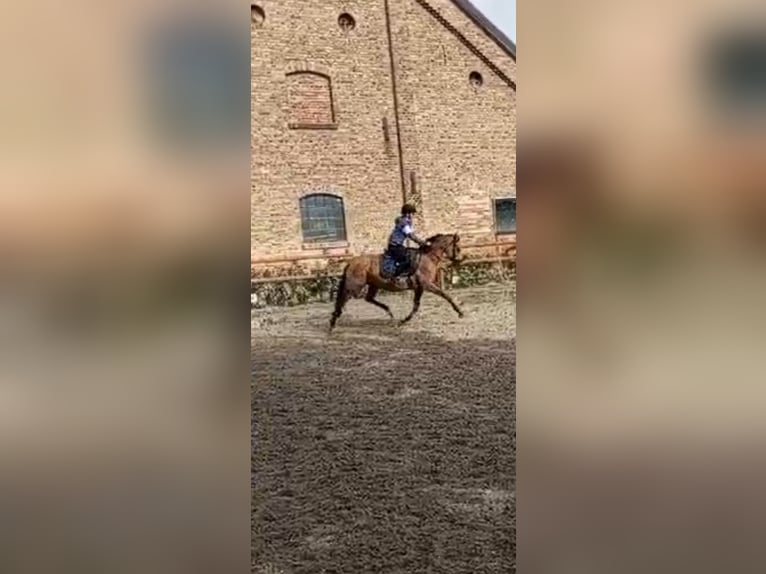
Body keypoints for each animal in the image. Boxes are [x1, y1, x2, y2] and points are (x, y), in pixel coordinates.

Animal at [328, 234, 464, 332]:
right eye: (457, 247)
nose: (459, 259)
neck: (428, 258)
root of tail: (350, 262)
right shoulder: (427, 285)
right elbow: (446, 295)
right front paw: (460, 312)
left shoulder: (419, 288)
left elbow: (416, 306)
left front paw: (403, 321)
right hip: (355, 287)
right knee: (344, 298)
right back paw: (332, 323)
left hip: (374, 285)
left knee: (368, 298)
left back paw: (389, 312)